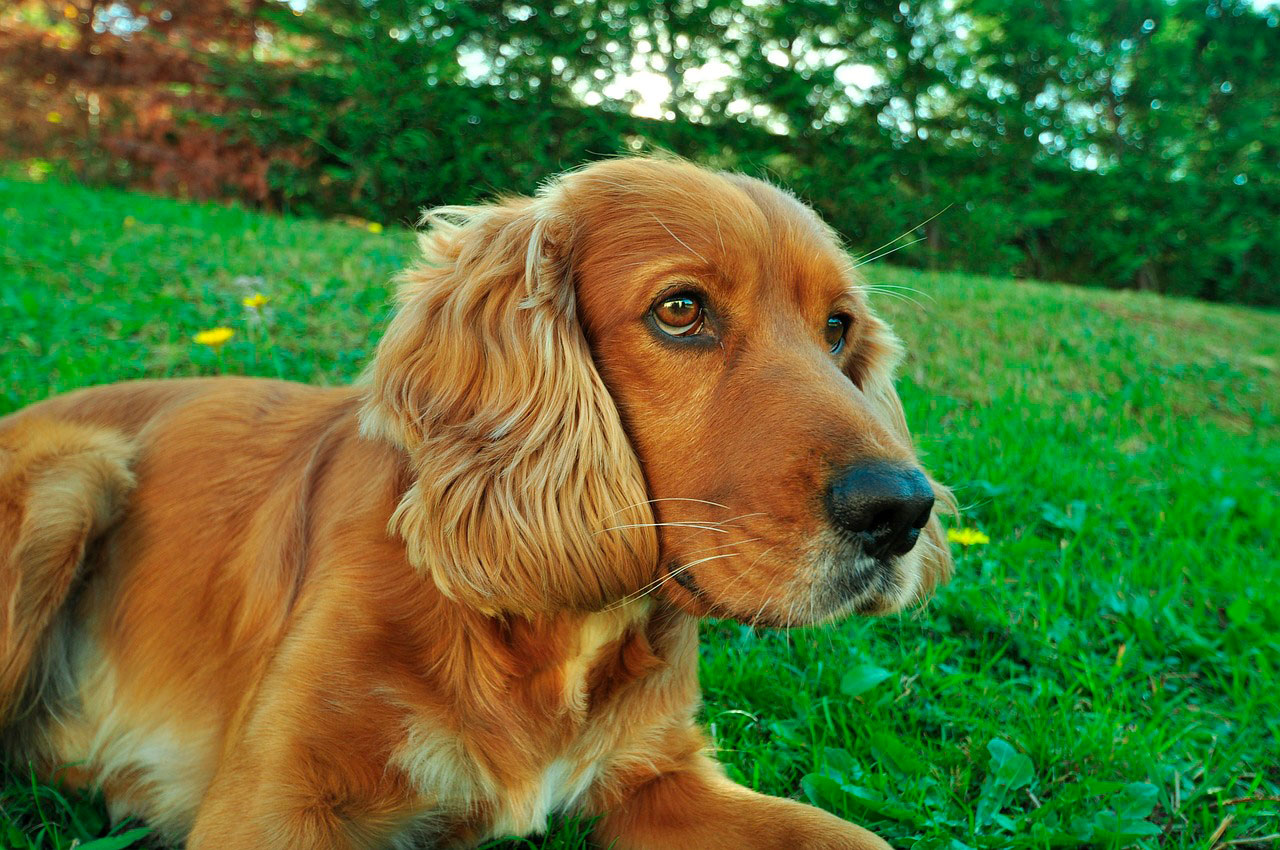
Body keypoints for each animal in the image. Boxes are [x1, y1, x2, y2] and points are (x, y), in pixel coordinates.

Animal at [0, 156, 952, 844]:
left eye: (838, 328)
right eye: (681, 310)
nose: (902, 511)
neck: (553, 633)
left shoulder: (661, 777)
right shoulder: (275, 801)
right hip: (74, 477)